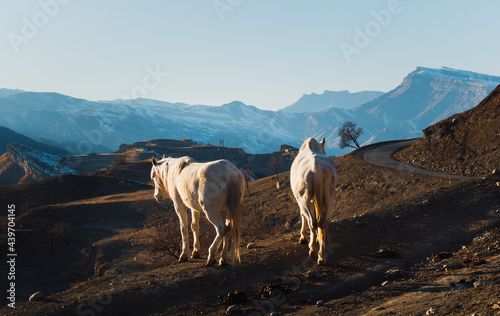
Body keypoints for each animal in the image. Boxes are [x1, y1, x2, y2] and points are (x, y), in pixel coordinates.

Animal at [290, 137, 336, 266]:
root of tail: (316, 168)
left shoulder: (300, 200)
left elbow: (302, 215)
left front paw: (303, 237)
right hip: (329, 197)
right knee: (322, 222)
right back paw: (321, 256)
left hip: (303, 199)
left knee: (312, 221)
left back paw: (312, 249)